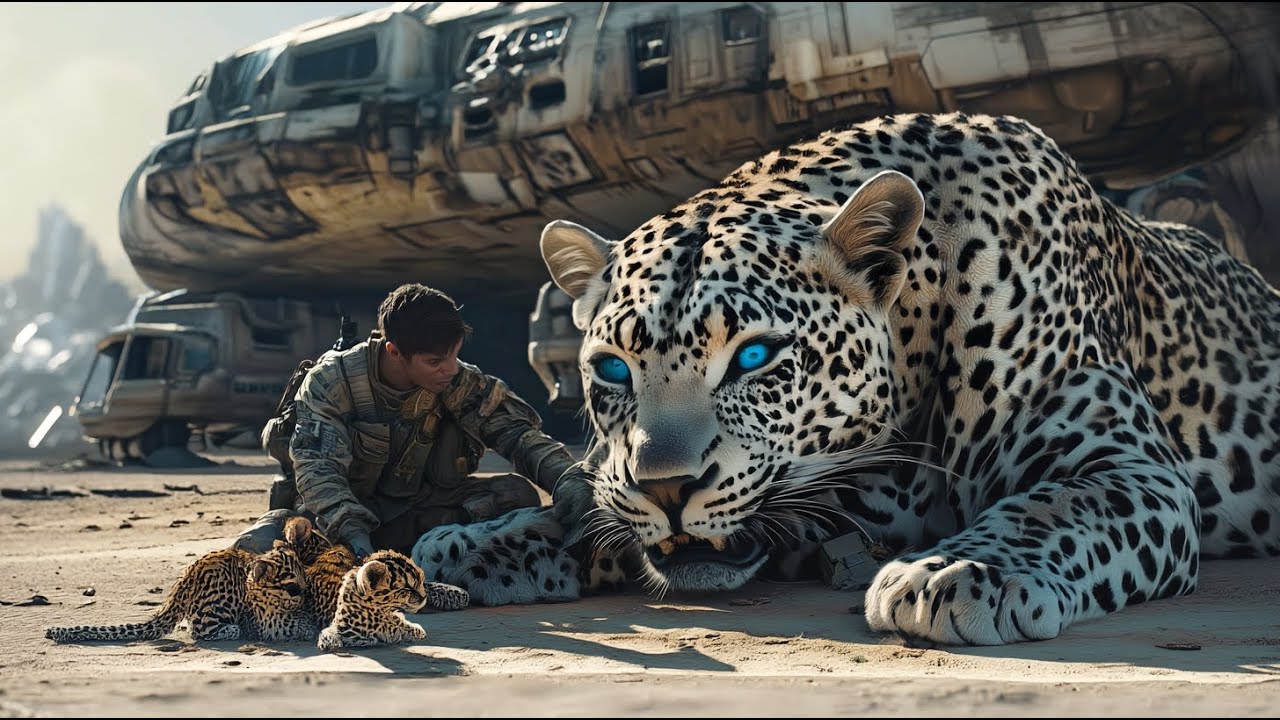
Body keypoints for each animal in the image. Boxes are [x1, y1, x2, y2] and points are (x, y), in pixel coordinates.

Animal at [45, 542, 313, 643]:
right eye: (292, 587)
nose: (305, 595)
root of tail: (185, 580)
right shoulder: (261, 619)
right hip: (219, 605)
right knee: (200, 630)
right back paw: (229, 630)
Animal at [413, 111, 1280, 645]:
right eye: (613, 368)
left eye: (754, 356)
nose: (667, 489)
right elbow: (593, 505)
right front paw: (479, 543)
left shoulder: (1122, 465)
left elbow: (1050, 509)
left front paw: (957, 574)